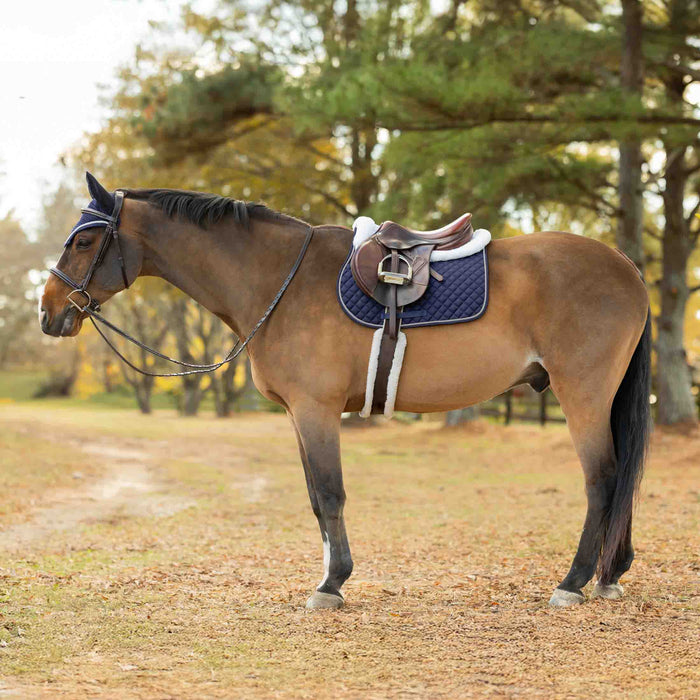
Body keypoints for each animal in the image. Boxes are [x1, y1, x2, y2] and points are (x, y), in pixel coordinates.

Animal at [40, 173, 651, 610]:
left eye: (86, 240)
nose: (48, 311)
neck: (280, 279)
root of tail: (626, 266)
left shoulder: (317, 410)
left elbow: (331, 494)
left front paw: (332, 584)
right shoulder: (298, 415)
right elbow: (316, 498)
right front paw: (330, 574)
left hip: (582, 396)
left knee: (603, 478)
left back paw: (573, 581)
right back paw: (609, 573)